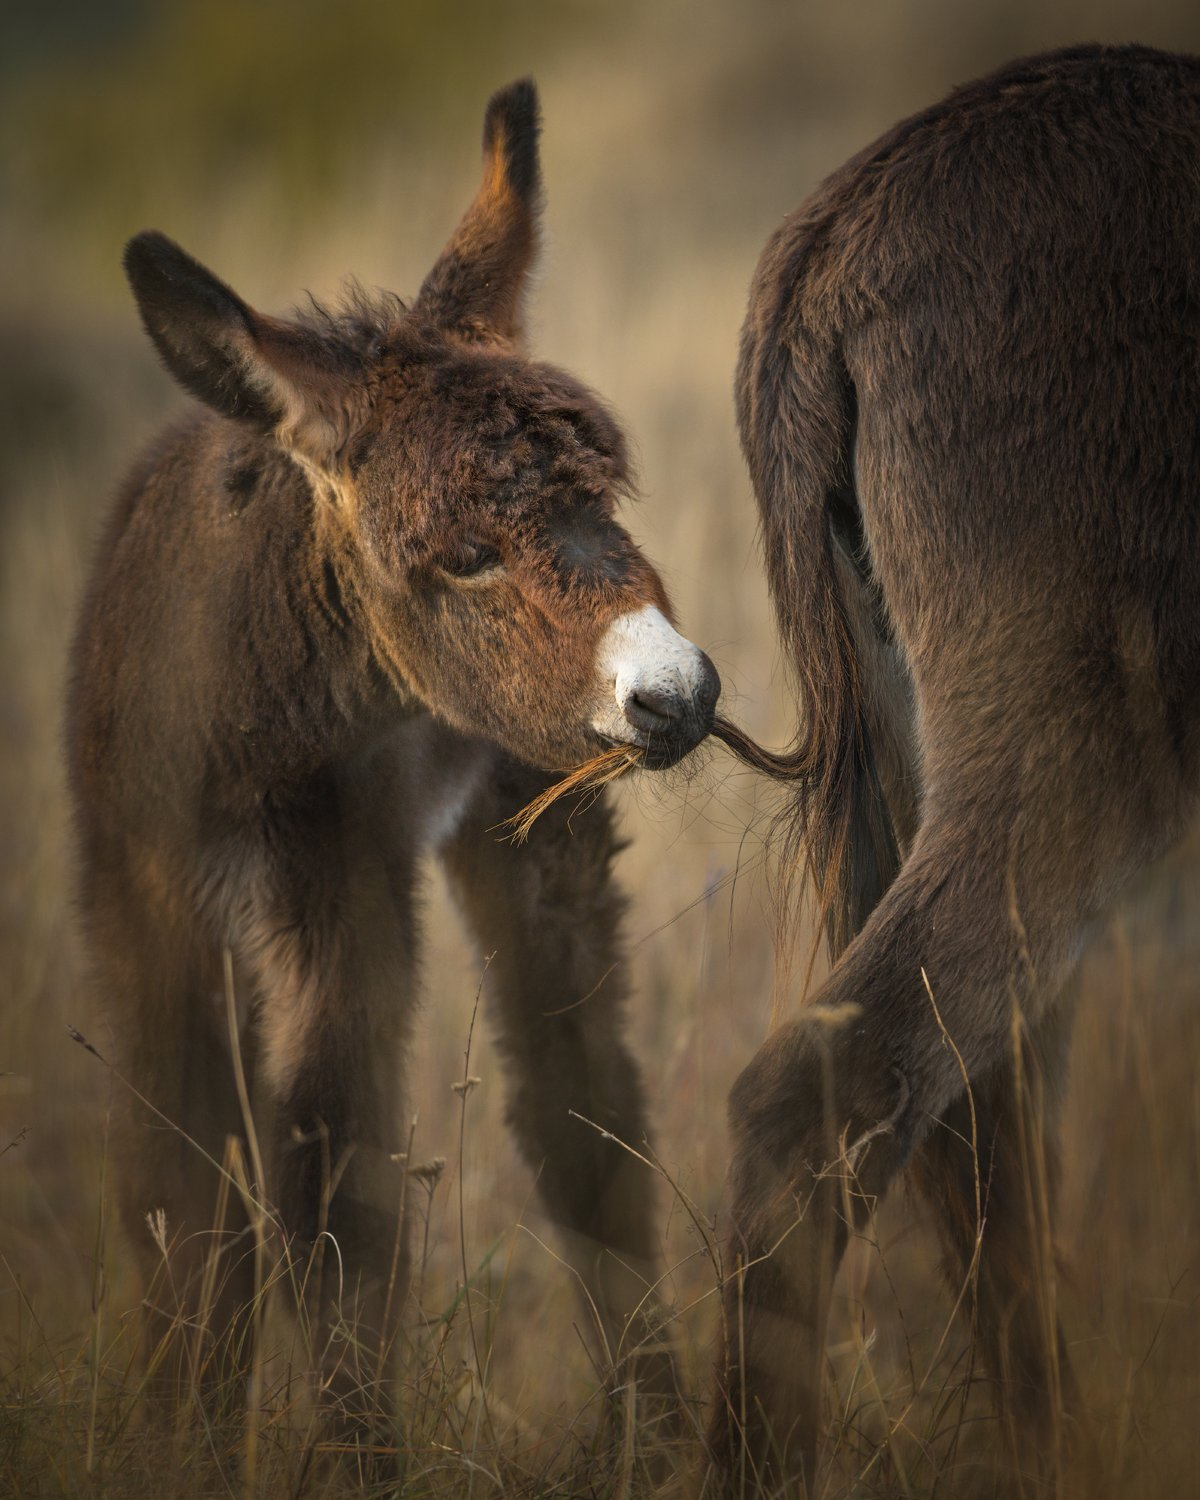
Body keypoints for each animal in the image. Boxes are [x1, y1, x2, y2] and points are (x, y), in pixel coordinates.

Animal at [65, 79, 717, 1440]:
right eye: (462, 557)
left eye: (605, 499)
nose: (679, 695)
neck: (244, 708)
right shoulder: (143, 894)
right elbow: (183, 1190)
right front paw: (174, 1433)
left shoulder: (346, 878)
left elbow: (335, 1190)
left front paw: (350, 1446)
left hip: (524, 819)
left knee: (579, 1104)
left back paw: (658, 1430)